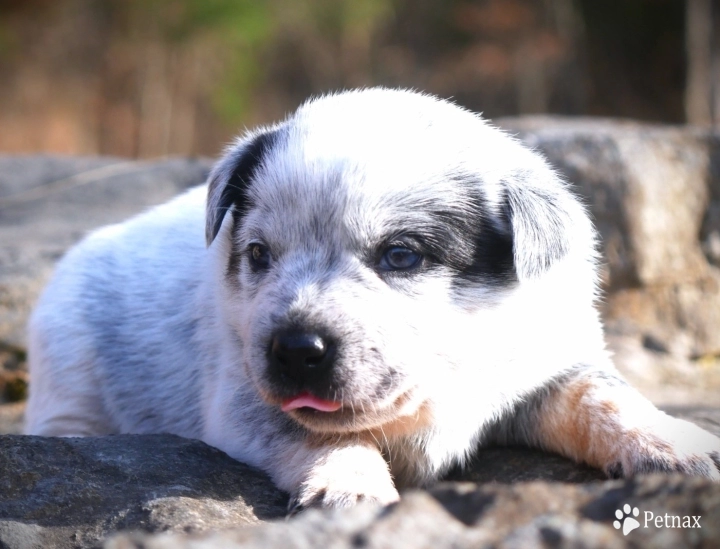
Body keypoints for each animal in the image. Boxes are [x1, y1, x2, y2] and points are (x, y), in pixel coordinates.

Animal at [23, 88, 720, 508]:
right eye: (259, 255)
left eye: (401, 256)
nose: (295, 349)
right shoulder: (244, 392)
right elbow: (317, 433)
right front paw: (352, 489)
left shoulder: (553, 361)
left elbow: (606, 398)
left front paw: (677, 446)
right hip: (70, 369)